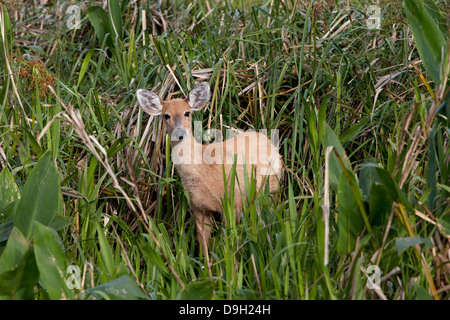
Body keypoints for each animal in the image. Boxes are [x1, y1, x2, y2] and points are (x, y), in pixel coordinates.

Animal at [137, 82, 284, 264]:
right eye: (166, 115)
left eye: (187, 113)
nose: (180, 133)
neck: (203, 170)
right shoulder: (198, 208)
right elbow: (204, 246)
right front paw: (206, 269)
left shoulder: (233, 200)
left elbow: (231, 241)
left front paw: (232, 267)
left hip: (270, 187)